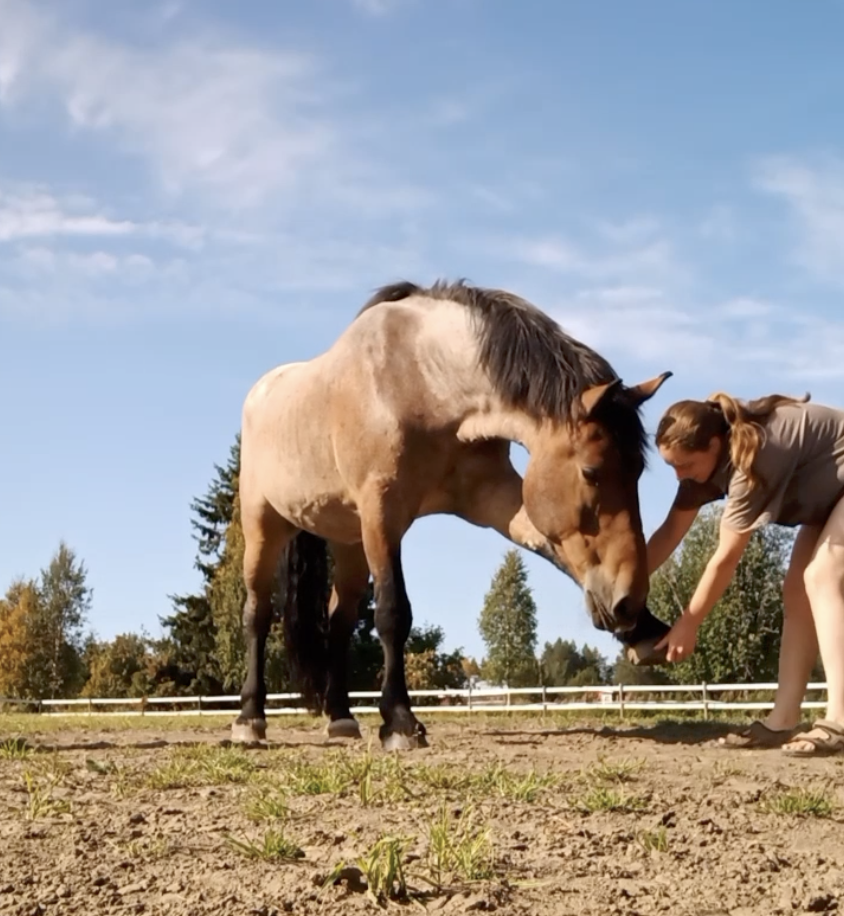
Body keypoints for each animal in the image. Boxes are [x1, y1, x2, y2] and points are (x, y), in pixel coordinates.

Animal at [232, 279, 672, 750]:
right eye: (591, 471)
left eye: (639, 469)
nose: (627, 601)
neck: (419, 382)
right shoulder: (382, 512)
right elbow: (393, 612)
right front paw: (400, 721)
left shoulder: (493, 500)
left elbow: (556, 550)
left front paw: (645, 629)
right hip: (263, 526)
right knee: (257, 614)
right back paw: (250, 719)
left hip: (348, 540)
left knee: (339, 620)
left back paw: (341, 718)